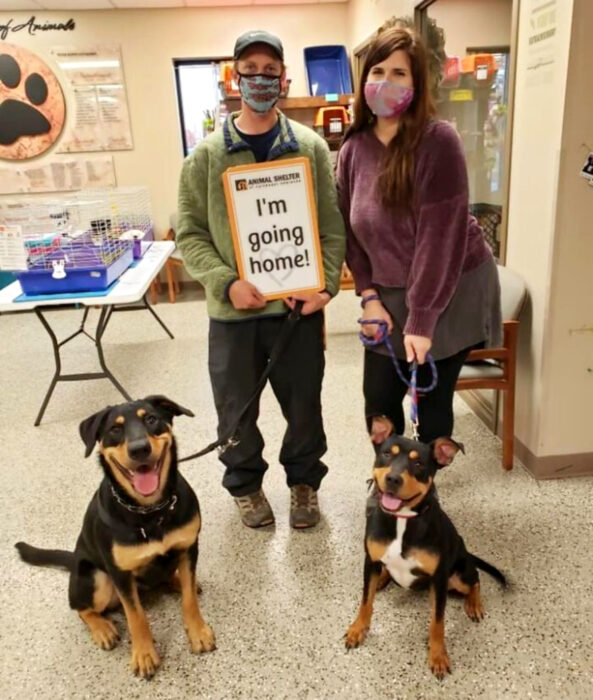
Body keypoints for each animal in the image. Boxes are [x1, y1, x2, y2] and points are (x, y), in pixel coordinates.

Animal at [15, 400, 215, 680]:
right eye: (115, 429)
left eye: (151, 419)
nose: (139, 449)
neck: (150, 512)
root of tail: (73, 558)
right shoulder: (119, 573)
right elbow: (136, 616)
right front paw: (144, 654)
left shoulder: (188, 549)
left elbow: (189, 601)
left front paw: (198, 632)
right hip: (97, 579)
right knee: (81, 608)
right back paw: (102, 629)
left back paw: (179, 581)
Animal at [344, 432, 506, 680]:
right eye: (386, 454)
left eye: (419, 463)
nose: (393, 479)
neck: (402, 518)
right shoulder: (370, 561)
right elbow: (365, 601)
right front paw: (358, 629)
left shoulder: (438, 579)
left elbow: (437, 623)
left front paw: (438, 656)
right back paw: (382, 579)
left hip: (459, 575)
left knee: (476, 579)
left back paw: (474, 604)